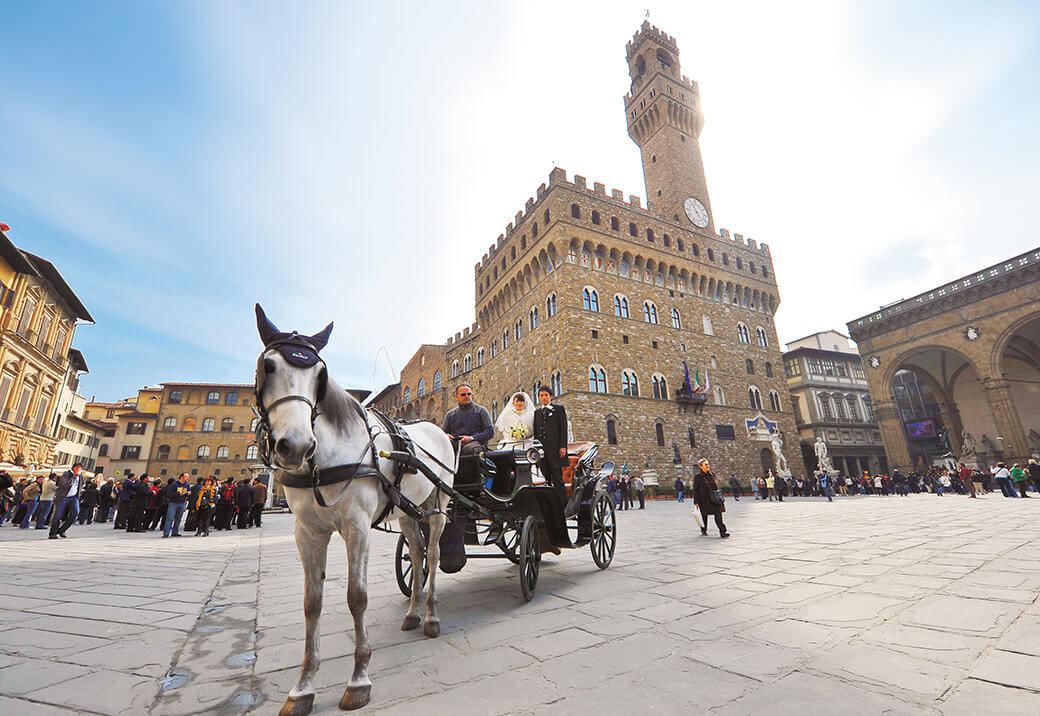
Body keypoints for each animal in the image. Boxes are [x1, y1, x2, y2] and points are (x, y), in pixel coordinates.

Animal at [253, 303, 453, 711]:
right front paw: (303, 686)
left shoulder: (357, 526)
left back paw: (430, 616)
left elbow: (356, 597)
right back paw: (412, 611)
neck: (326, 457)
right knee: (417, 552)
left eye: (320, 374)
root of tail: (438, 428)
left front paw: (359, 679)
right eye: (268, 366)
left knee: (435, 554)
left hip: (438, 505)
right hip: (408, 512)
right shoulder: (306, 532)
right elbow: (312, 603)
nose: (296, 444)